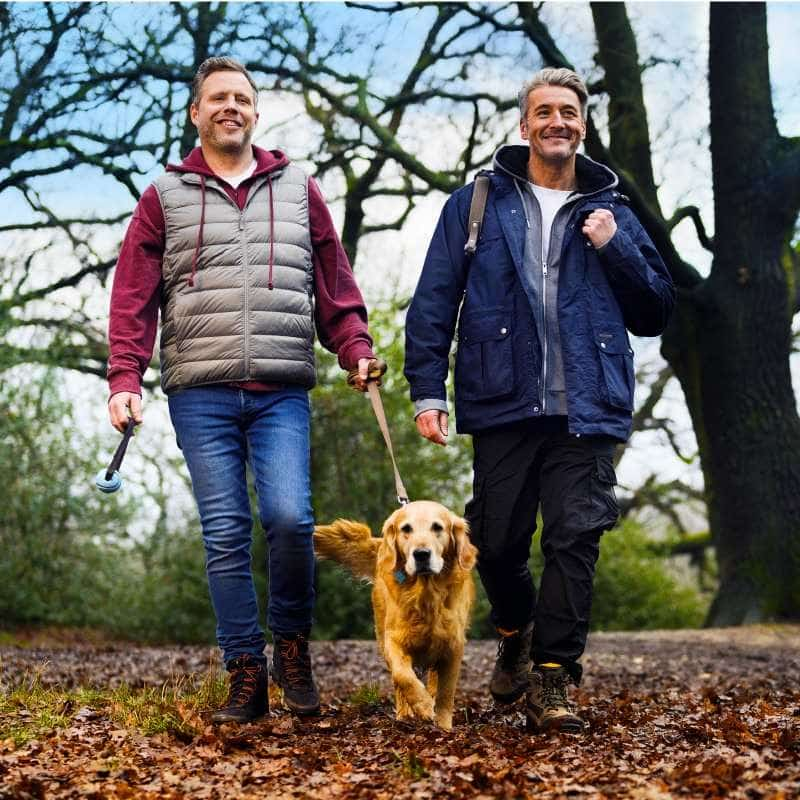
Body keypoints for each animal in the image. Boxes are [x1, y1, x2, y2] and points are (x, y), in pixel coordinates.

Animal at [312, 500, 476, 732]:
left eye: (437, 527)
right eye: (406, 529)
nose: (421, 554)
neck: (425, 595)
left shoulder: (453, 647)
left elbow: (446, 693)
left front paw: (443, 726)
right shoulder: (393, 639)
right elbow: (403, 676)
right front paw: (423, 705)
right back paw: (405, 714)